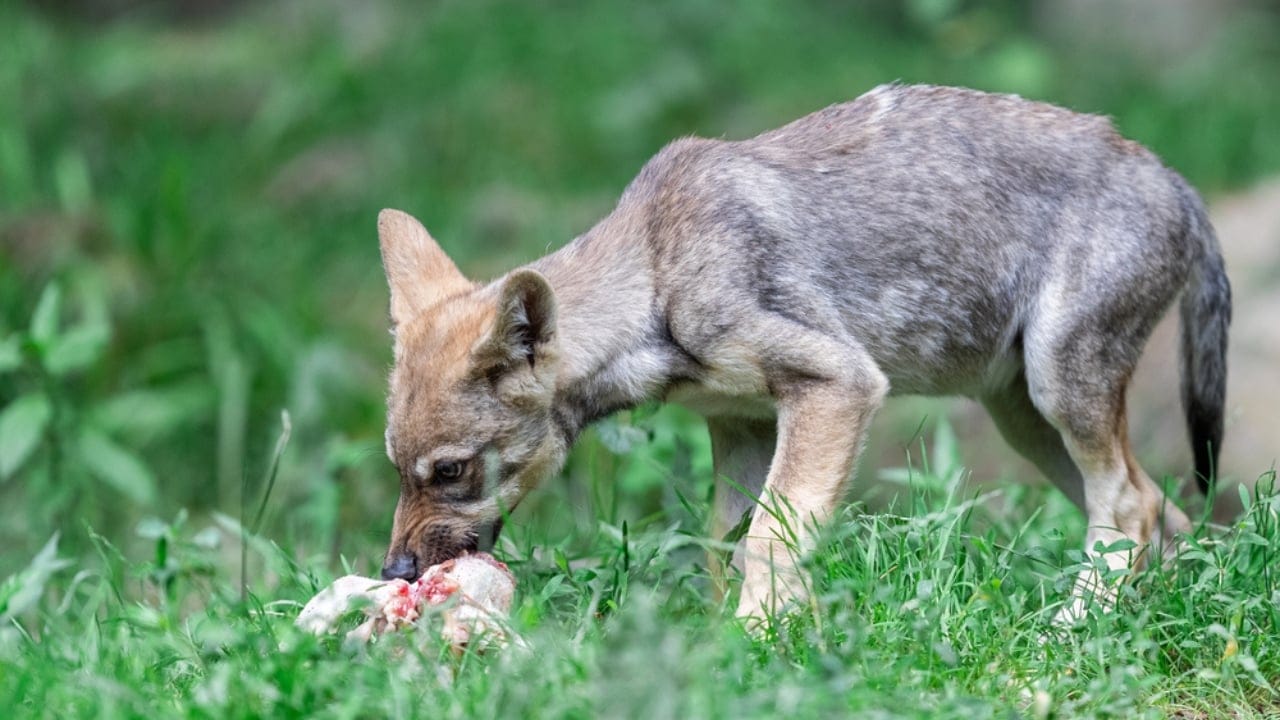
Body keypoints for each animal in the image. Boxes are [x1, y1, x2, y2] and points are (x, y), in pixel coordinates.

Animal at [375, 83, 1230, 621]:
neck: (655, 279)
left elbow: (770, 544)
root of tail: (1174, 179)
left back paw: (1071, 629)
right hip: (1027, 423)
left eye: (450, 471)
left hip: (1060, 395)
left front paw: (753, 645)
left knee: (1133, 506)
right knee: (1162, 514)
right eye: (399, 470)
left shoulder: (839, 385)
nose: (394, 573)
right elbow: (723, 548)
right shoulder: (743, 426)